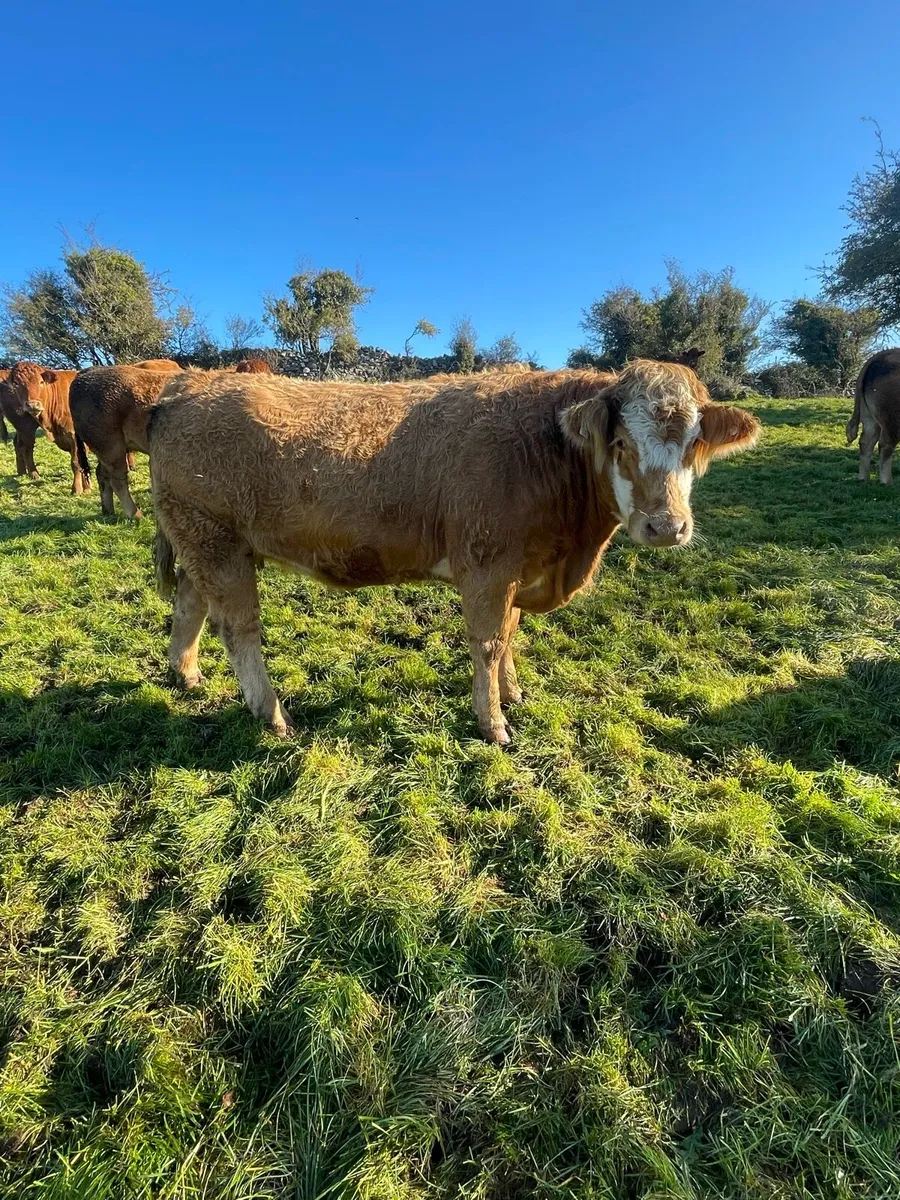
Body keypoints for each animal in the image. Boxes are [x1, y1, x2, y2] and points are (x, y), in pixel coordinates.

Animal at [69, 365, 185, 518]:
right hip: (111, 447)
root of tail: (89, 370)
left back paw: (108, 512)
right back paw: (137, 515)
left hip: (105, 449)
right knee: (117, 479)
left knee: (102, 474)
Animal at [149, 360, 760, 743]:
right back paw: (271, 713)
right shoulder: (487, 564)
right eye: (621, 443)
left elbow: (510, 633)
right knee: (238, 629)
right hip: (216, 543)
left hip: (201, 543)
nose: (666, 526)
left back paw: (185, 673)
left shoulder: (517, 567)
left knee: (188, 606)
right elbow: (488, 642)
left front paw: (513, 694)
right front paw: (493, 723)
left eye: (694, 444)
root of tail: (187, 386)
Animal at [847, 348, 900, 484]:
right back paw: (887, 482)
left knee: (866, 441)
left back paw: (863, 478)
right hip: (892, 419)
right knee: (885, 444)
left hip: (868, 416)